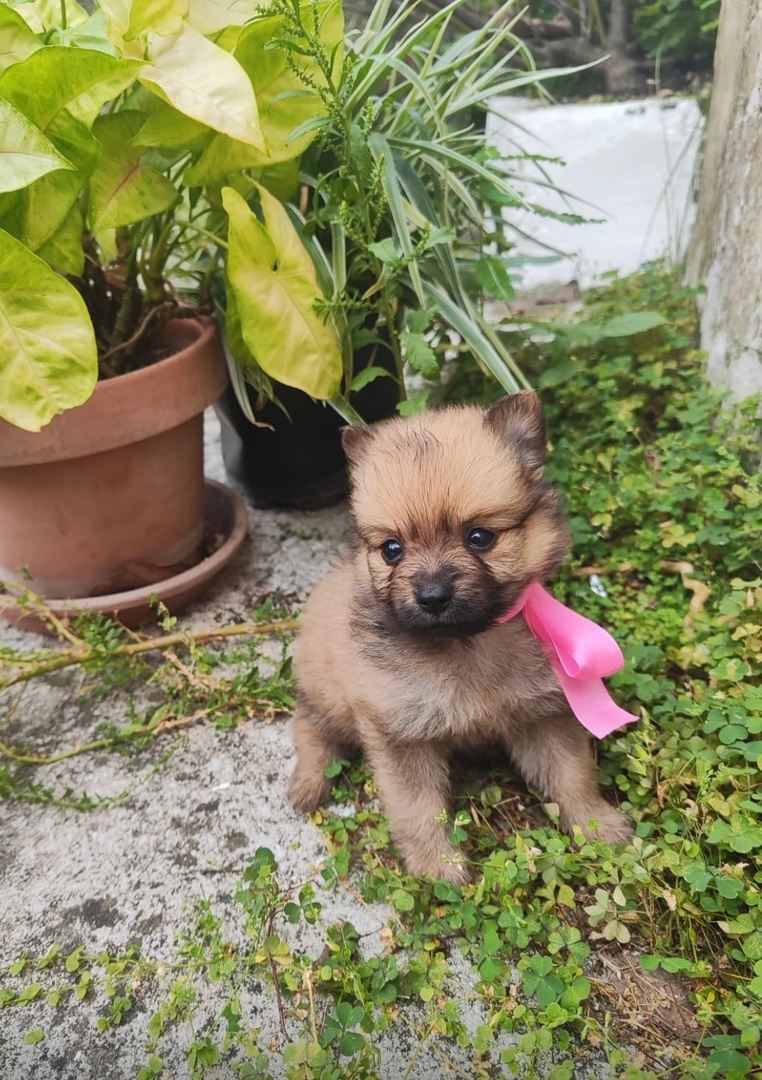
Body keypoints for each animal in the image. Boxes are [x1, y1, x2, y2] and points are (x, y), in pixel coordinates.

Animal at [287, 393, 630, 881]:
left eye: (479, 537)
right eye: (392, 549)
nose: (432, 596)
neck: (465, 644)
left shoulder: (542, 715)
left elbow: (571, 773)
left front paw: (596, 824)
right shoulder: (401, 734)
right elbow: (417, 808)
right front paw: (438, 868)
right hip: (325, 698)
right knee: (310, 731)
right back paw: (309, 782)